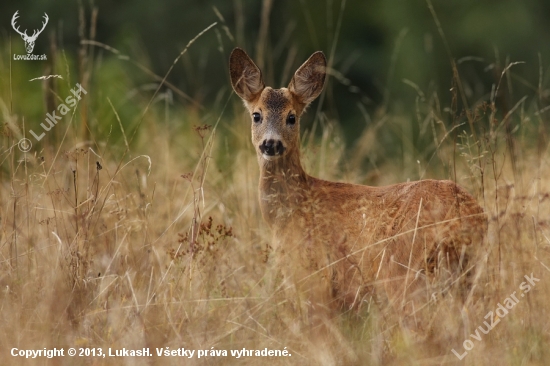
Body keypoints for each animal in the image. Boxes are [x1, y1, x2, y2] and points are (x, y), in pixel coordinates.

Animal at [229, 48, 488, 320]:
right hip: (464, 274)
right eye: (256, 115)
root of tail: (466, 215)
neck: (287, 214)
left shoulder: (313, 277)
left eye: (292, 117)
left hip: (404, 270)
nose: (271, 144)